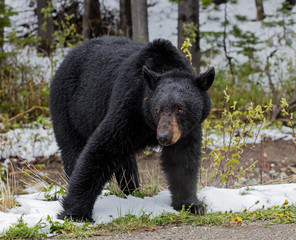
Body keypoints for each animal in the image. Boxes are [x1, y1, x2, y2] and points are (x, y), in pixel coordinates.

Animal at [49, 36, 214, 222]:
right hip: (67, 110)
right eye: (158, 108)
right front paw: (75, 213)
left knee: (125, 162)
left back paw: (132, 191)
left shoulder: (186, 130)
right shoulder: (130, 106)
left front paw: (191, 205)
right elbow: (101, 149)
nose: (164, 136)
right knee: (73, 150)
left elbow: (182, 160)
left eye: (180, 108)